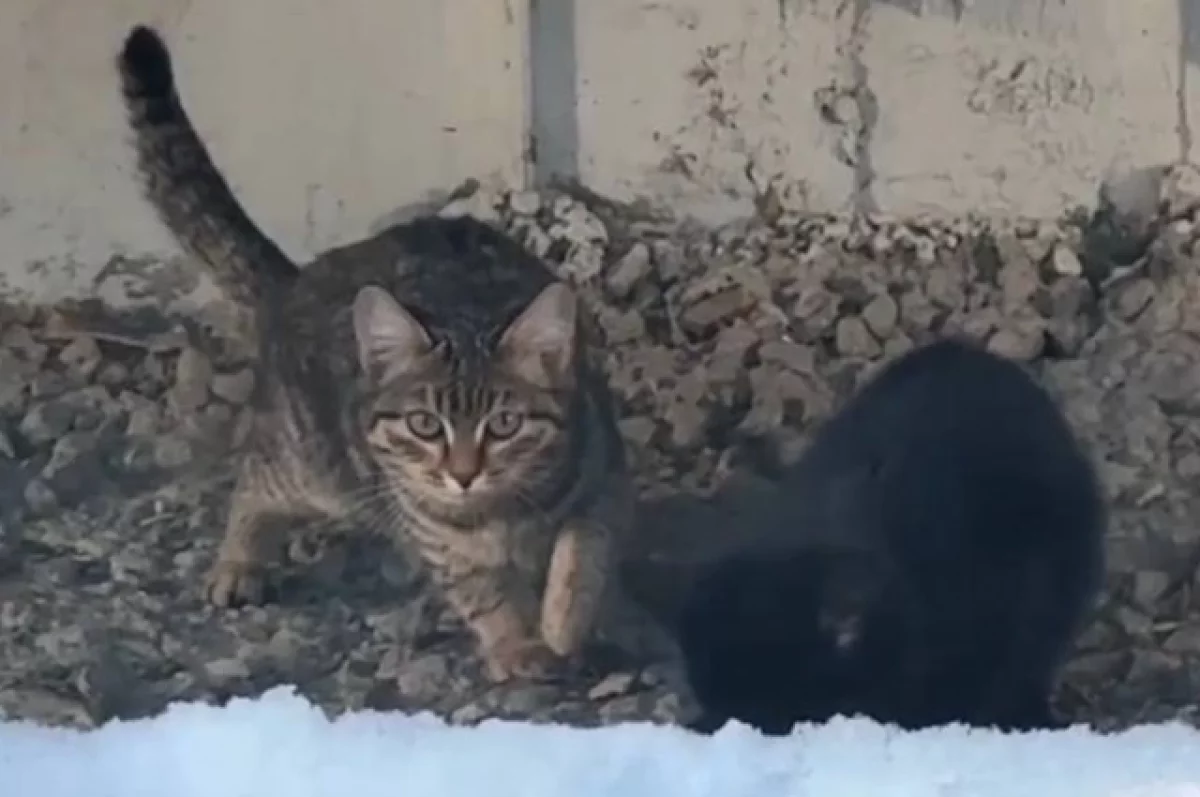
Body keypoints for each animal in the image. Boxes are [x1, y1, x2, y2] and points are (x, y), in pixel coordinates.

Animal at [116, 25, 672, 686]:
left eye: (506, 423)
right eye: (424, 425)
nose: (463, 473)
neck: (497, 514)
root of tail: (297, 280)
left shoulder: (605, 480)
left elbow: (583, 554)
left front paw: (566, 620)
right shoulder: (439, 536)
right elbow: (483, 591)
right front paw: (517, 643)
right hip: (313, 463)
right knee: (253, 482)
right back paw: (238, 561)